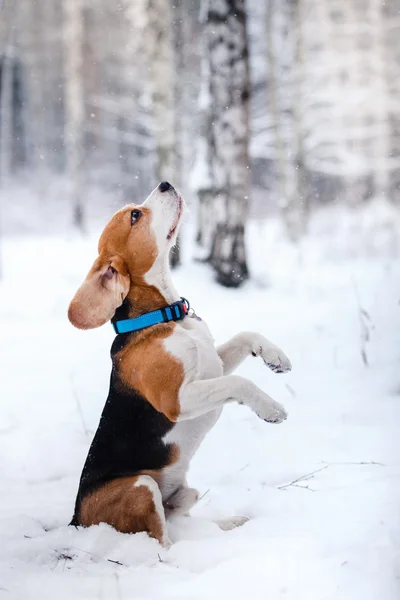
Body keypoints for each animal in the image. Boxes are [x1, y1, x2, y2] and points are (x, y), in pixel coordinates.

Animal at [69, 180, 292, 548]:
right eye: (134, 216)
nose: (165, 183)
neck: (165, 315)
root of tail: (75, 521)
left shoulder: (213, 364)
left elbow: (245, 337)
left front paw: (275, 356)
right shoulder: (176, 399)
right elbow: (238, 383)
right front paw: (270, 408)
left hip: (187, 493)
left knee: (181, 522)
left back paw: (227, 525)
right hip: (142, 486)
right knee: (162, 543)